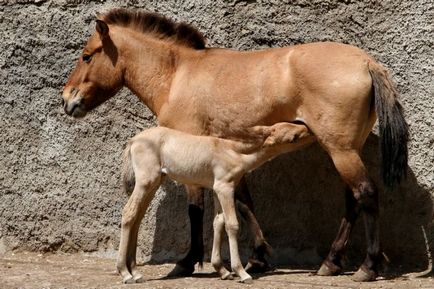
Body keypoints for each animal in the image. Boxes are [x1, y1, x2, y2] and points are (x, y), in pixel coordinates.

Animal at [118, 121, 314, 282]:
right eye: (294, 137)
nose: (309, 129)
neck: (234, 152)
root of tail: (133, 141)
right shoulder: (224, 187)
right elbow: (232, 225)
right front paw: (241, 272)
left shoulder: (216, 189)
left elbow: (218, 222)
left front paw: (222, 271)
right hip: (146, 181)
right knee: (128, 213)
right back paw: (125, 273)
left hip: (155, 182)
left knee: (137, 217)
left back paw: (135, 272)